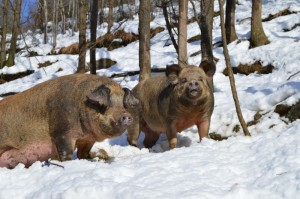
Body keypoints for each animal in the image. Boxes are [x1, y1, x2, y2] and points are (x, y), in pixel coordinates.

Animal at [0, 74, 138, 169]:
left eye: (123, 104)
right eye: (105, 104)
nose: (127, 115)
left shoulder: (87, 139)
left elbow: (83, 153)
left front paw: (88, 159)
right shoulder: (62, 132)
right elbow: (66, 153)